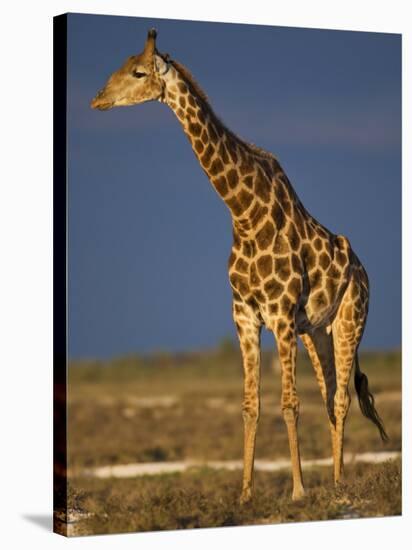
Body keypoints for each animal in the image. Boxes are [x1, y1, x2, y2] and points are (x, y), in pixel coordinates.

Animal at [89, 29, 386, 504]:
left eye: (137, 72)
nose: (97, 99)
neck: (243, 213)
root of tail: (361, 269)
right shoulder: (244, 314)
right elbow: (251, 405)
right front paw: (245, 494)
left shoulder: (280, 316)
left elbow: (289, 403)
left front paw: (298, 490)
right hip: (315, 331)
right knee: (330, 395)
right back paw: (337, 480)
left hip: (350, 320)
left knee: (340, 398)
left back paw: (338, 485)